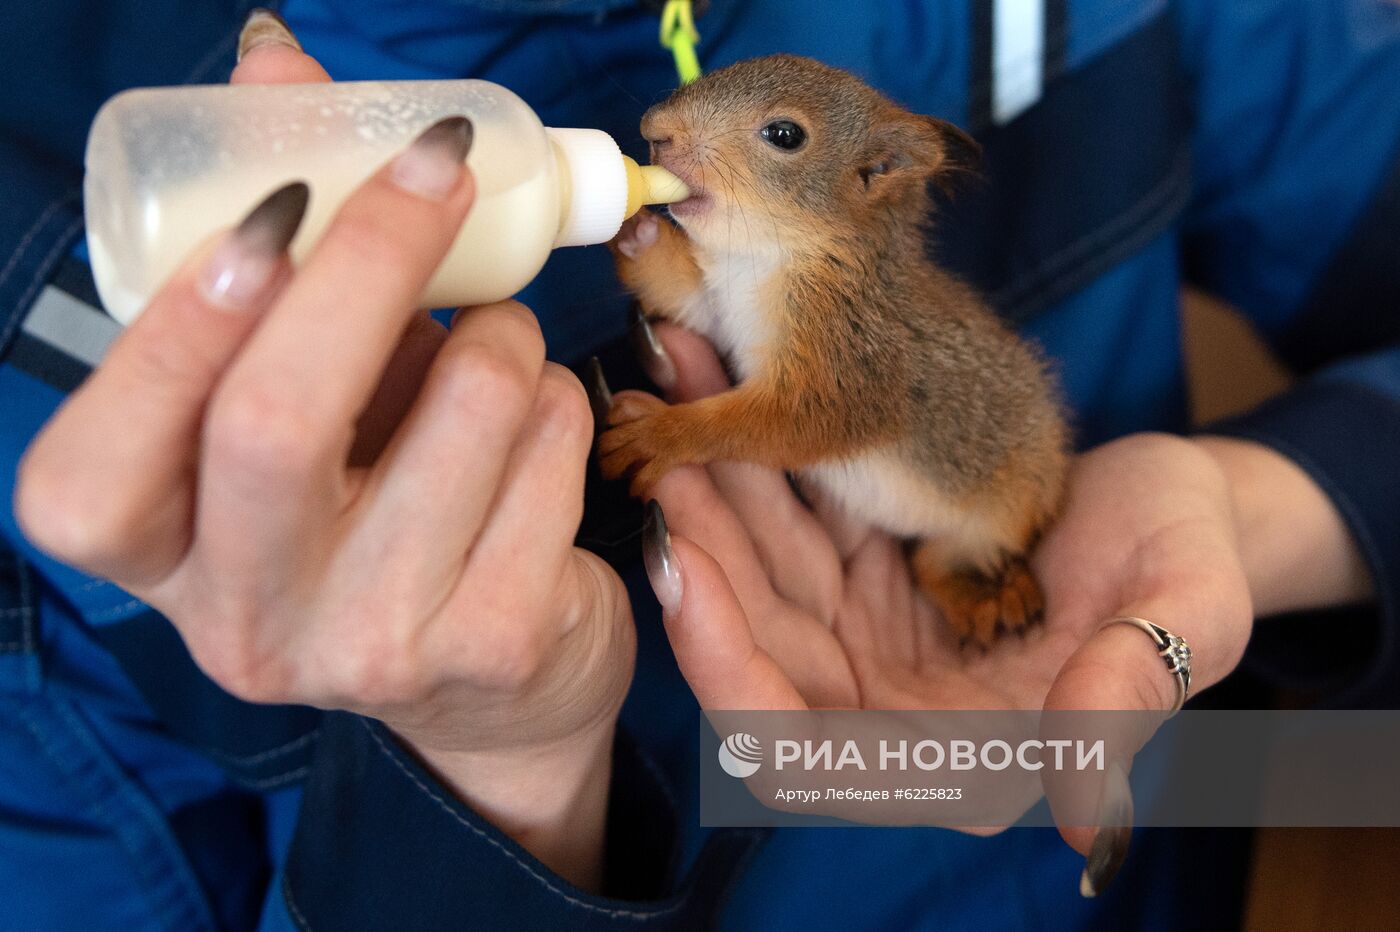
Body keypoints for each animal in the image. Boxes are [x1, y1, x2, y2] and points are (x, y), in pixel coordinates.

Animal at [596, 54, 1064, 643]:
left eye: (785, 135)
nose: (654, 130)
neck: (772, 258)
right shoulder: (720, 308)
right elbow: (682, 297)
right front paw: (634, 228)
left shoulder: (854, 355)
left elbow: (792, 421)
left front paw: (660, 433)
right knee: (928, 566)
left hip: (1007, 509)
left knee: (954, 558)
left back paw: (998, 600)